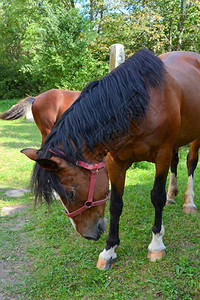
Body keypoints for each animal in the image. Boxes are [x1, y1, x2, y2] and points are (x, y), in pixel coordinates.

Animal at [19, 49, 200, 270]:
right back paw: (172, 195)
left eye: (70, 193)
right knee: (176, 162)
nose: (88, 235)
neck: (139, 105)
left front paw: (156, 244)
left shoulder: (161, 155)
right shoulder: (115, 162)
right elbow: (115, 203)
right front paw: (109, 250)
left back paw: (188, 202)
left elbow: (156, 196)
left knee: (190, 162)